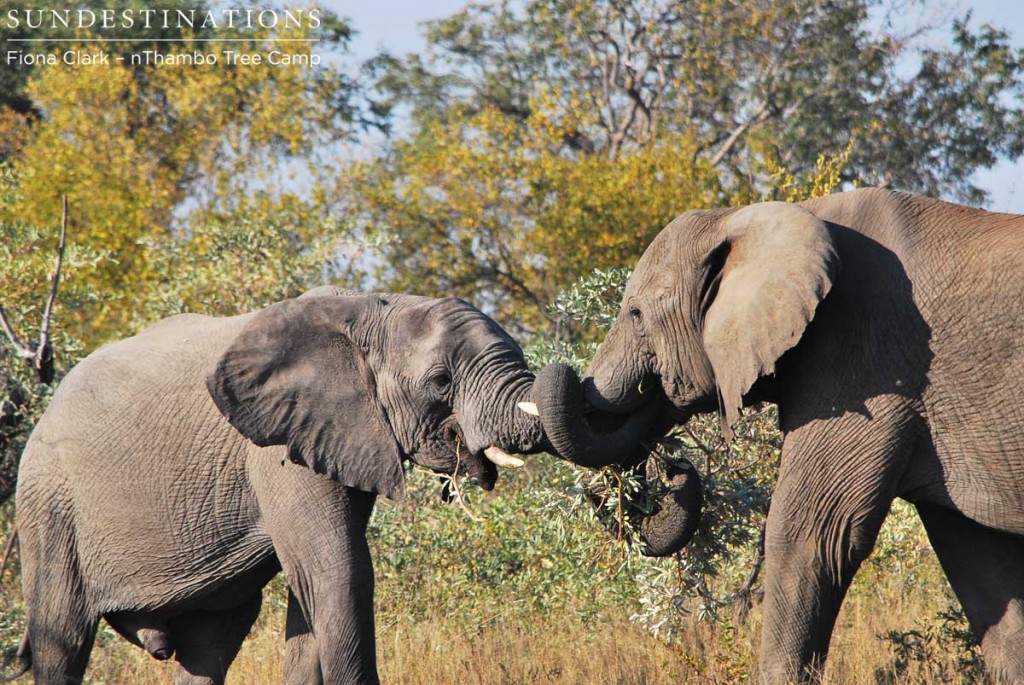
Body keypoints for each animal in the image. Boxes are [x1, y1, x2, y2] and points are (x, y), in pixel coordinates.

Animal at [4, 288, 569, 683]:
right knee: (62, 638)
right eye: (441, 382)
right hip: (48, 504)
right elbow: (339, 572)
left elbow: (314, 590)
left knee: (212, 644)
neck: (370, 311)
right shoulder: (278, 447)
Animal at [532, 188, 1024, 683]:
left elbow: (812, 535)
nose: (676, 468)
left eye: (635, 314)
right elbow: (982, 564)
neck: (746, 217)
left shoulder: (861, 359)